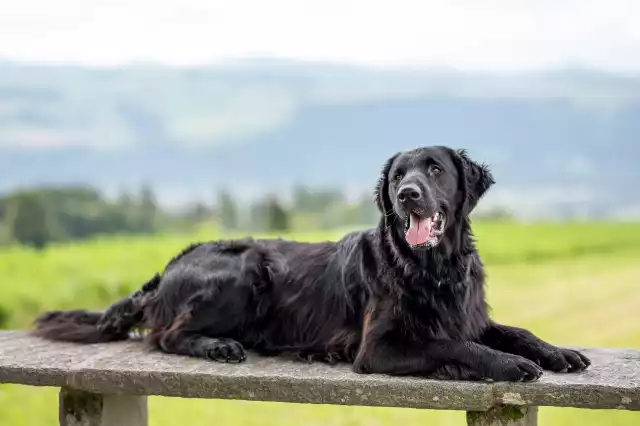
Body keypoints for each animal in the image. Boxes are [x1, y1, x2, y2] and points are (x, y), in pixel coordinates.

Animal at [30, 146, 592, 382]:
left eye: (435, 169)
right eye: (398, 176)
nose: (407, 195)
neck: (431, 267)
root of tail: (169, 267)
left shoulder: (470, 314)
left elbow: (513, 330)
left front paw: (557, 353)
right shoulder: (377, 347)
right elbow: (449, 344)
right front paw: (506, 366)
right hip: (245, 269)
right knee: (164, 335)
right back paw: (218, 347)